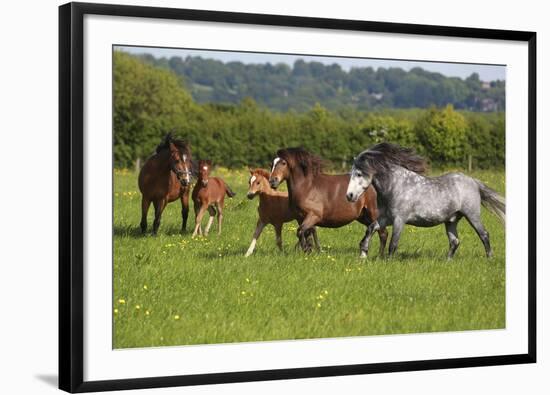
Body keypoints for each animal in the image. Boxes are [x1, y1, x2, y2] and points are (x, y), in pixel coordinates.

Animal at [348, 144, 506, 258]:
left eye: (359, 174)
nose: (349, 195)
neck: (395, 186)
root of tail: (473, 181)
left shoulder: (399, 220)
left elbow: (393, 244)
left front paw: (387, 262)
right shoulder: (385, 218)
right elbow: (370, 229)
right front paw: (363, 254)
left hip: (472, 215)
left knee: (484, 235)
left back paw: (489, 258)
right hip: (451, 220)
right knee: (454, 241)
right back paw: (447, 262)